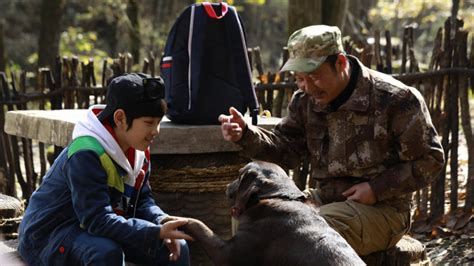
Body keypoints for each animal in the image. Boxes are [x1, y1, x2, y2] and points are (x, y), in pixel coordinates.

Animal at [180, 161, 364, 264]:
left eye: (239, 176)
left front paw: (178, 220)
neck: (279, 196)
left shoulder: (227, 254)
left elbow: (199, 225)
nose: (226, 185)